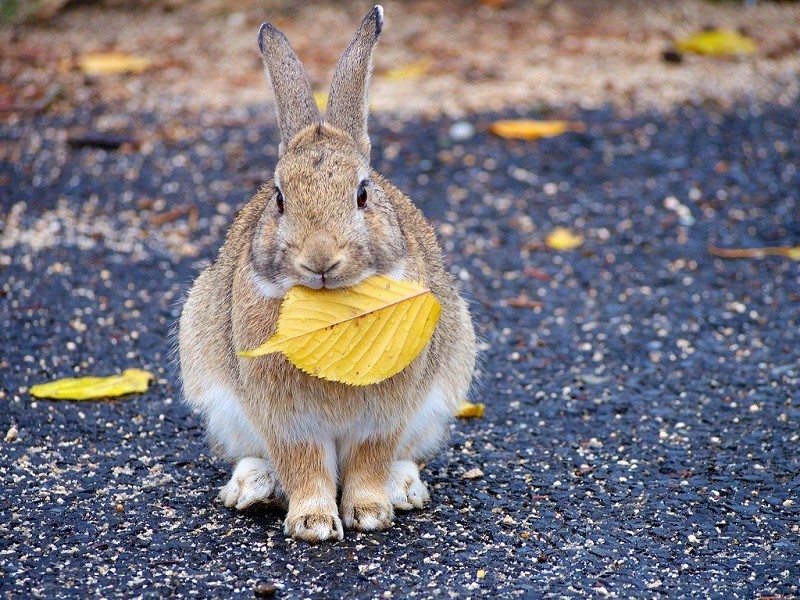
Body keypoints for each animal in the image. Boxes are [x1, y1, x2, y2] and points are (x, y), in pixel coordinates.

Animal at [178, 4, 476, 540]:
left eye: (362, 193)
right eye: (279, 198)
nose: (319, 259)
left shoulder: (385, 415)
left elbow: (371, 458)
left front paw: (370, 513)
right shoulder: (286, 419)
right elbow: (303, 464)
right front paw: (313, 522)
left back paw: (403, 490)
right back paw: (253, 488)